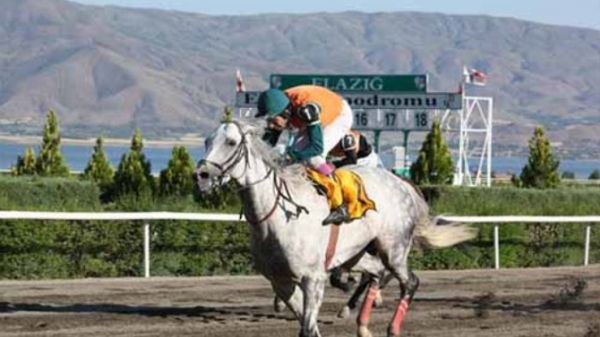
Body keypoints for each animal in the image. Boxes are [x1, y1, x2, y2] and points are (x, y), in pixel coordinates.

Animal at [196, 119, 474, 334]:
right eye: (207, 142)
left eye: (231, 142)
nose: (201, 176)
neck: (276, 217)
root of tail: (403, 184)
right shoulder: (281, 283)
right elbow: (307, 326)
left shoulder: (313, 278)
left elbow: (308, 328)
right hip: (359, 253)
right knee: (376, 273)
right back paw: (360, 322)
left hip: (393, 248)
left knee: (409, 281)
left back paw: (391, 328)